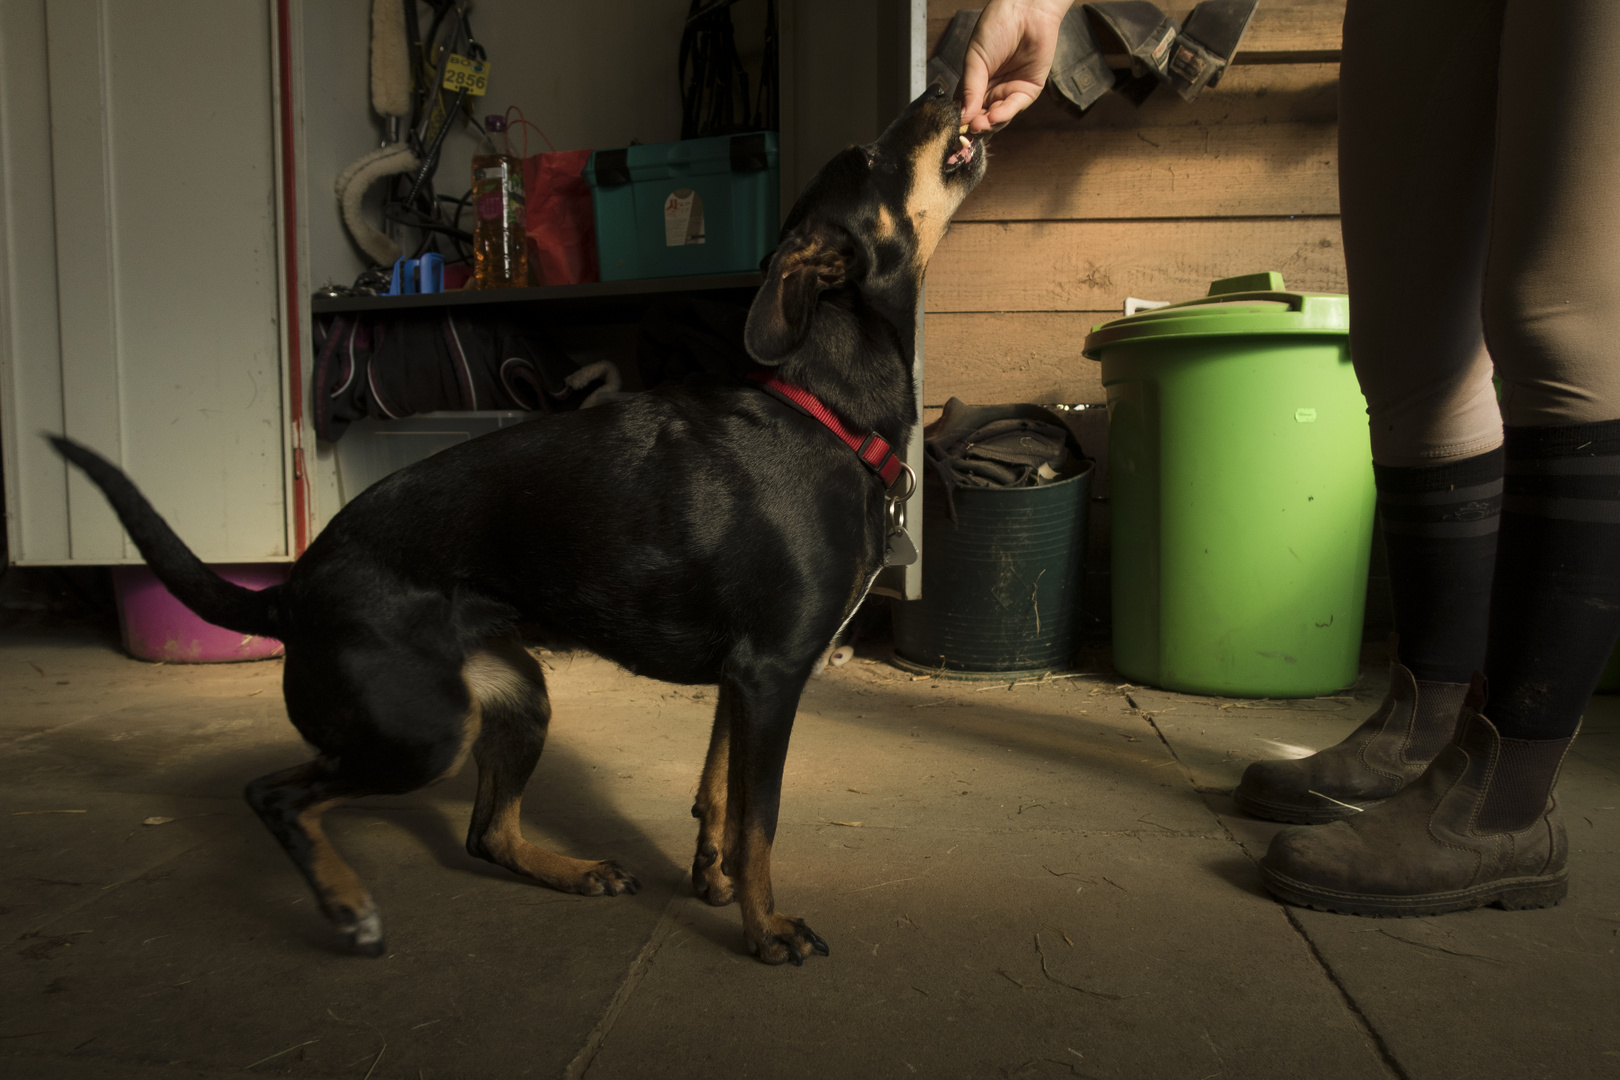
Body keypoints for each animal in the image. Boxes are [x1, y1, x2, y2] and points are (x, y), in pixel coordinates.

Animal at [50, 84, 984, 965]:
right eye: (871, 154)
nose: (946, 82)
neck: (824, 408)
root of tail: (291, 593)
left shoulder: (745, 678)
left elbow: (718, 791)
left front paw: (710, 878)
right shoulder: (772, 672)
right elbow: (762, 819)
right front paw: (766, 930)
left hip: (517, 697)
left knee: (485, 834)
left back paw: (574, 872)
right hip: (423, 730)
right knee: (276, 795)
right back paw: (348, 907)